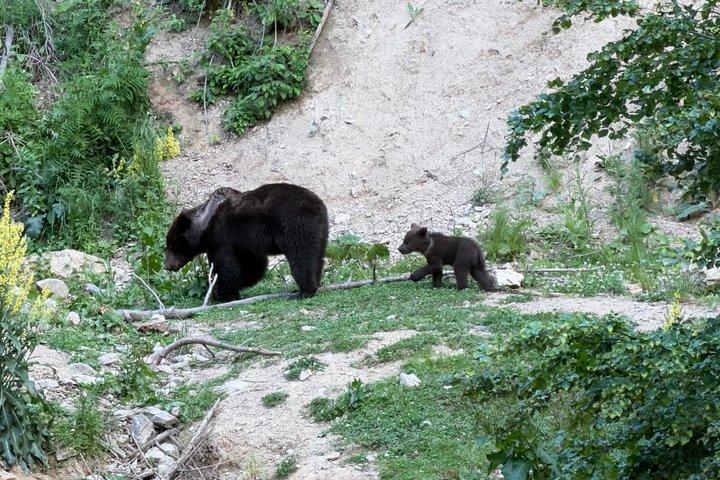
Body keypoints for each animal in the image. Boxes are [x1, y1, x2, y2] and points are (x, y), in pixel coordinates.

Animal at [164, 183, 329, 301]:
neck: (206, 224)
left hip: (294, 224)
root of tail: (318, 205)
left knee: (301, 256)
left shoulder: (222, 236)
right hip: (320, 232)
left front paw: (220, 293)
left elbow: (226, 267)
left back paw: (304, 291)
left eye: (171, 245)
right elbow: (253, 266)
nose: (166, 266)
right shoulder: (244, 243)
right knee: (317, 257)